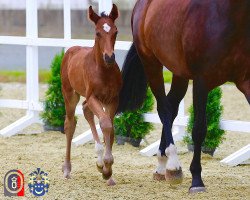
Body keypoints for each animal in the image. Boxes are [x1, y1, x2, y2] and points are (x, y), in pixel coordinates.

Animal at [61, 4, 122, 186]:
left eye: (115, 31)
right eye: (97, 33)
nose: (109, 57)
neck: (103, 71)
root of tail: (72, 50)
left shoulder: (113, 99)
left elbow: (110, 128)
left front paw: (107, 171)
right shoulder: (93, 97)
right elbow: (106, 124)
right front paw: (107, 166)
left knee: (86, 110)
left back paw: (100, 162)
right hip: (70, 94)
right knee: (70, 124)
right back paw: (67, 169)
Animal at [117, 0, 250, 194]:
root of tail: (141, 5)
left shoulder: (247, 81)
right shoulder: (202, 82)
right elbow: (199, 129)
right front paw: (196, 181)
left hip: (179, 72)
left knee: (172, 107)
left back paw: (162, 166)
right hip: (151, 63)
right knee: (164, 109)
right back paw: (173, 167)